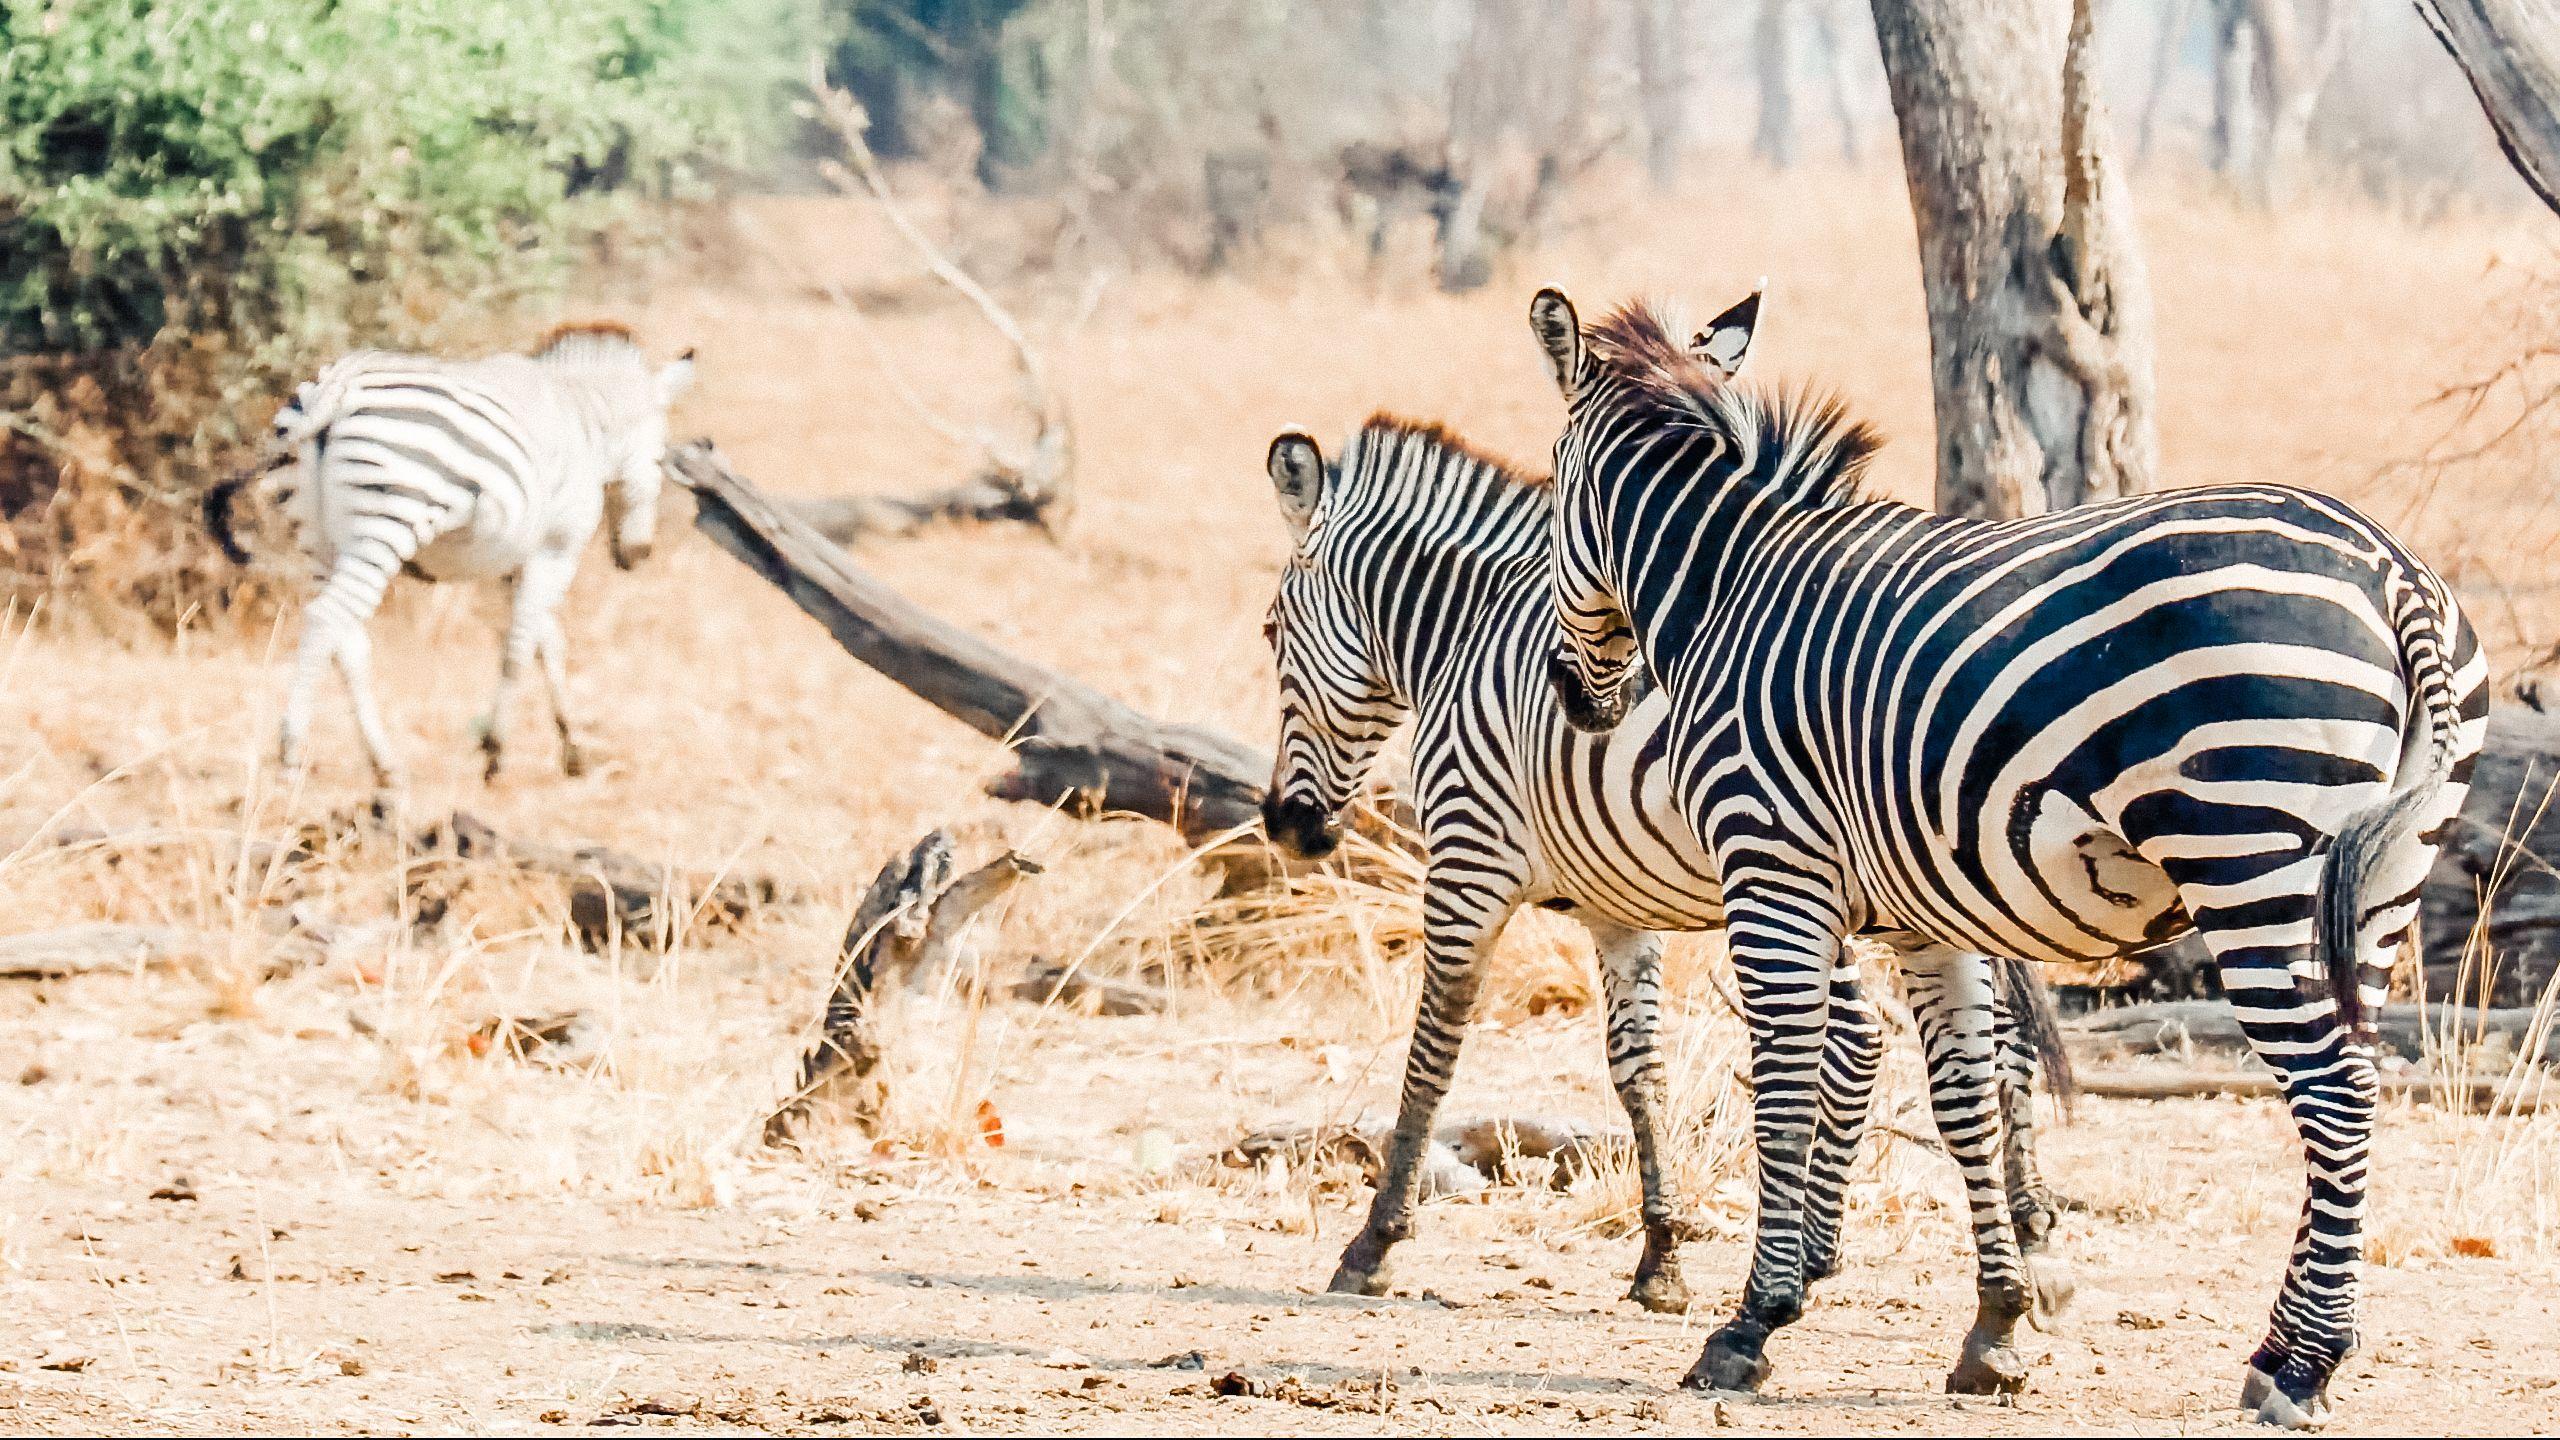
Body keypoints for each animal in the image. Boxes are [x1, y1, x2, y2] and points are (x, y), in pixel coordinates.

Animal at [206, 323, 694, 789]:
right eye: (662, 461)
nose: (637, 554)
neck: (583, 419)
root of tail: (337, 389)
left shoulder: (511, 562)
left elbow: (546, 642)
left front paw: (573, 750)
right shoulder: (555, 548)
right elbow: (519, 644)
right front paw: (497, 752)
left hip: (316, 541)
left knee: (346, 641)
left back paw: (385, 769)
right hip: (385, 525)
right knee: (328, 618)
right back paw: (291, 755)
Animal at [1256, 401, 2076, 1318]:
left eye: (1272, 631)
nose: (1287, 827)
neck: (1470, 636)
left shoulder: (1469, 862)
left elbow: (1433, 1052)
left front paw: (1375, 1243)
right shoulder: (1616, 906)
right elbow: (1637, 1069)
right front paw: (1662, 1255)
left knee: (1874, 1041)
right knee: (1986, 1042)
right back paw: (2026, 1243)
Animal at [1524, 285, 2485, 1423]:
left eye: (1551, 478)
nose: (1579, 696)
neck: (1728, 591)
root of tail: (2389, 569)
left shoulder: (1770, 870)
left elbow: (1788, 1084)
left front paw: (1753, 1323)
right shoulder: (1920, 917)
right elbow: (1965, 1100)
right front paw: (1994, 1329)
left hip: (2251, 855)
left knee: (2332, 1088)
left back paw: (2305, 1367)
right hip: (2381, 883)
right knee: (2361, 1079)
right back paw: (2282, 1348)